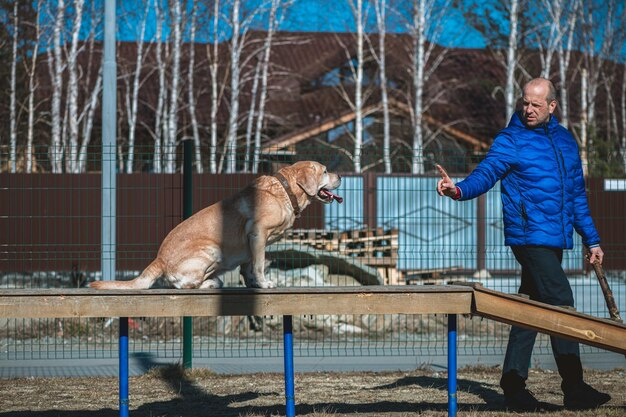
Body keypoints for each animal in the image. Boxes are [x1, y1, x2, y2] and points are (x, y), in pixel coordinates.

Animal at [90, 160, 342, 290]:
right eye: (325, 171)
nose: (340, 176)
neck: (285, 191)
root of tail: (158, 260)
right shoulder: (258, 234)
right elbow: (259, 264)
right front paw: (264, 284)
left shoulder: (251, 243)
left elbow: (249, 267)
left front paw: (253, 284)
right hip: (212, 250)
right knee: (185, 286)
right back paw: (211, 283)